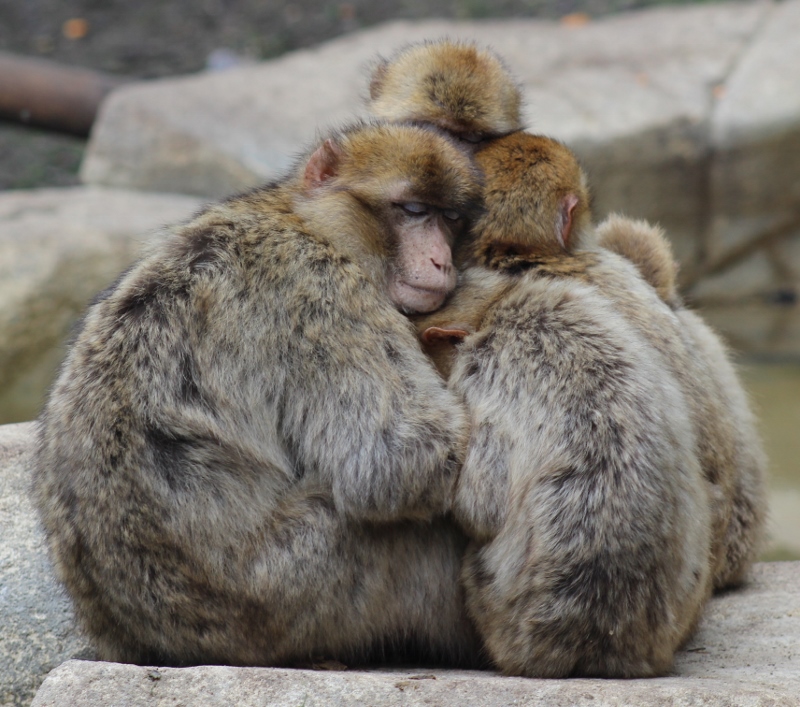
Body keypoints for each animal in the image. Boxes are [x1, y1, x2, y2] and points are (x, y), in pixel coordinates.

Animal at [32, 121, 488, 668]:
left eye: (451, 219)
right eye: (414, 210)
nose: (441, 261)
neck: (306, 219)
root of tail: (154, 645)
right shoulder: (325, 291)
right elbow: (399, 463)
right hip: (289, 591)